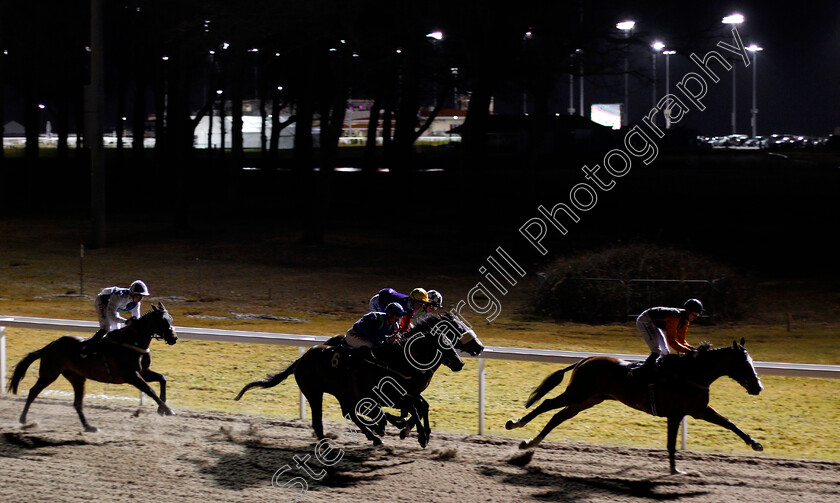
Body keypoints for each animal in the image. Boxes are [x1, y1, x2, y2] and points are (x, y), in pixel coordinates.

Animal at [7, 304, 179, 434]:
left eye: (171, 319)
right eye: (163, 321)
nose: (174, 337)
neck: (132, 341)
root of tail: (49, 346)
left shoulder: (143, 372)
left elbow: (162, 379)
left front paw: (161, 409)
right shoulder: (131, 375)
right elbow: (150, 390)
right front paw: (168, 410)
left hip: (76, 377)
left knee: (77, 403)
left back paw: (89, 427)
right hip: (49, 373)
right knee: (33, 392)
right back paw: (23, 420)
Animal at [233, 314, 480, 446]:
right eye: (449, 337)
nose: (461, 362)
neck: (401, 359)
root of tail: (301, 360)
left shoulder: (407, 392)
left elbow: (421, 406)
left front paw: (411, 429)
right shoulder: (393, 394)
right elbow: (413, 408)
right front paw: (416, 434)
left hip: (341, 392)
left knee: (349, 413)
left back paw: (376, 435)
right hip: (314, 392)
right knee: (320, 421)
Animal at [506, 338, 760, 476]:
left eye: (751, 362)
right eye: (744, 364)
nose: (758, 387)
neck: (691, 374)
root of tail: (585, 359)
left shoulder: (698, 410)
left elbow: (729, 423)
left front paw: (755, 444)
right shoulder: (676, 414)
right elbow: (670, 444)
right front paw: (674, 471)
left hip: (588, 399)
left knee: (557, 417)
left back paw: (529, 444)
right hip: (579, 393)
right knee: (547, 404)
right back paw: (515, 424)